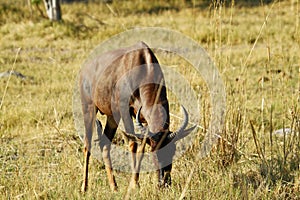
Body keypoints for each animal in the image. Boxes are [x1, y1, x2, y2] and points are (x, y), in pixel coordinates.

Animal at [79, 41, 195, 192]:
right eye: (154, 152)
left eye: (173, 150)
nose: (164, 184)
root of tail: (86, 69)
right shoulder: (125, 111)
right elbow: (133, 144)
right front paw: (134, 184)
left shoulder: (144, 120)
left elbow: (141, 148)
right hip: (89, 109)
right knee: (87, 145)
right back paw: (84, 188)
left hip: (112, 116)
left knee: (105, 144)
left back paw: (114, 187)